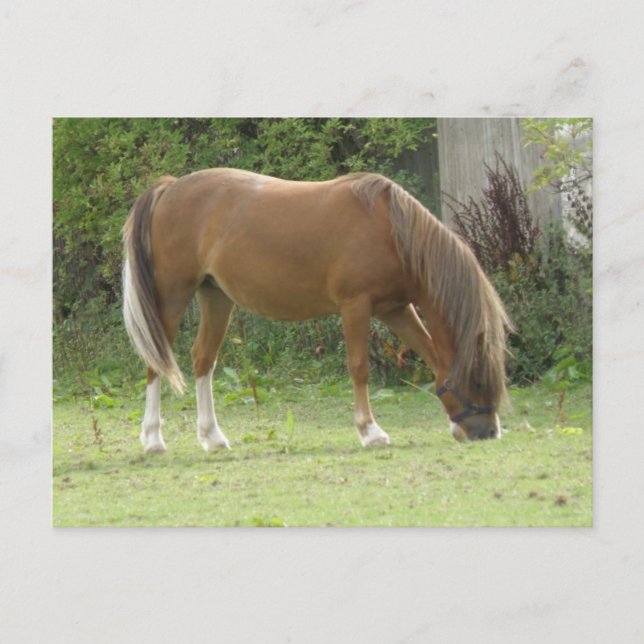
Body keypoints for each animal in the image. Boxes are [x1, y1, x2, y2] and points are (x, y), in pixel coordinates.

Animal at [122, 168, 511, 454]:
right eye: (479, 380)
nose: (487, 432)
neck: (390, 231)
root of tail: (170, 188)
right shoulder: (356, 306)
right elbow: (359, 368)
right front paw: (370, 431)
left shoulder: (397, 309)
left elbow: (431, 355)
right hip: (172, 296)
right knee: (156, 361)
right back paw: (153, 440)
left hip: (215, 297)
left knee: (203, 359)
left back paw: (213, 437)